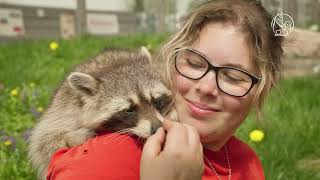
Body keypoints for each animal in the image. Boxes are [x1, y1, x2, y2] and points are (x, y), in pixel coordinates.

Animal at [27, 47, 178, 179]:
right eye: (129, 110)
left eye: (156, 100)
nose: (158, 127)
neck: (112, 65)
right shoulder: (64, 109)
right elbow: (44, 142)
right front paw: (75, 136)